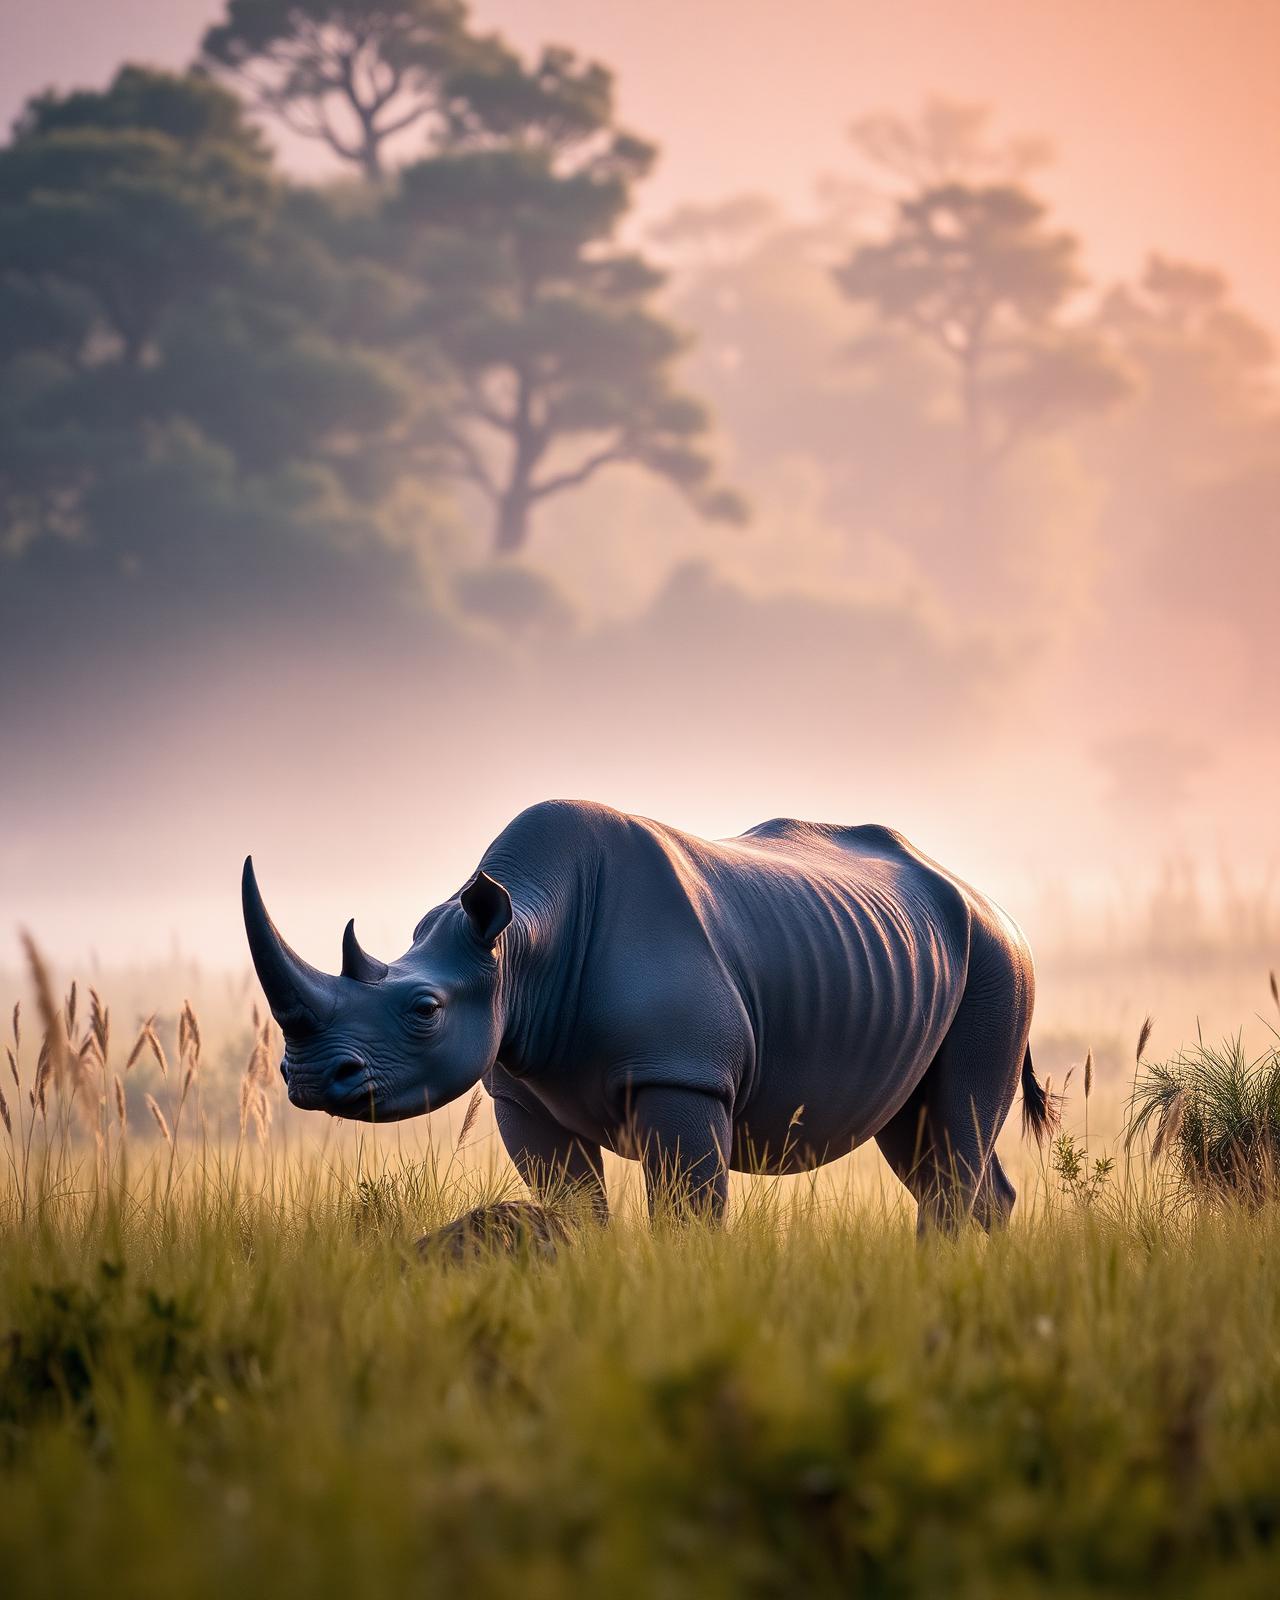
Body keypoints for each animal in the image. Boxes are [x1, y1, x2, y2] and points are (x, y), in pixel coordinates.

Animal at [243, 799, 1050, 1229]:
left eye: (425, 1010)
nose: (307, 1079)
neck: (522, 941)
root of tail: (989, 902)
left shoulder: (682, 1073)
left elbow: (688, 1215)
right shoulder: (520, 1088)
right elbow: (573, 1204)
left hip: (998, 964)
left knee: (955, 1125)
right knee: (924, 1139)